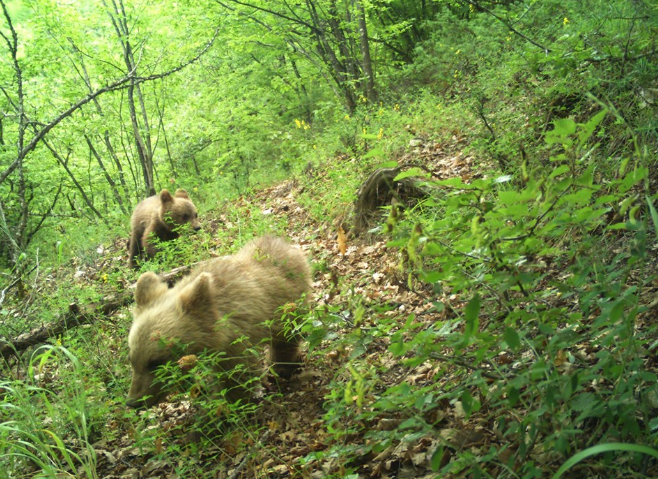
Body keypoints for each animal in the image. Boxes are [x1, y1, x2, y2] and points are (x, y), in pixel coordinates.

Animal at [127, 236, 312, 408]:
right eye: (133, 360)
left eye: (155, 362)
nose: (133, 401)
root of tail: (285, 244)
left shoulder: (235, 338)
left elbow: (235, 375)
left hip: (286, 301)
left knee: (286, 336)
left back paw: (282, 366)